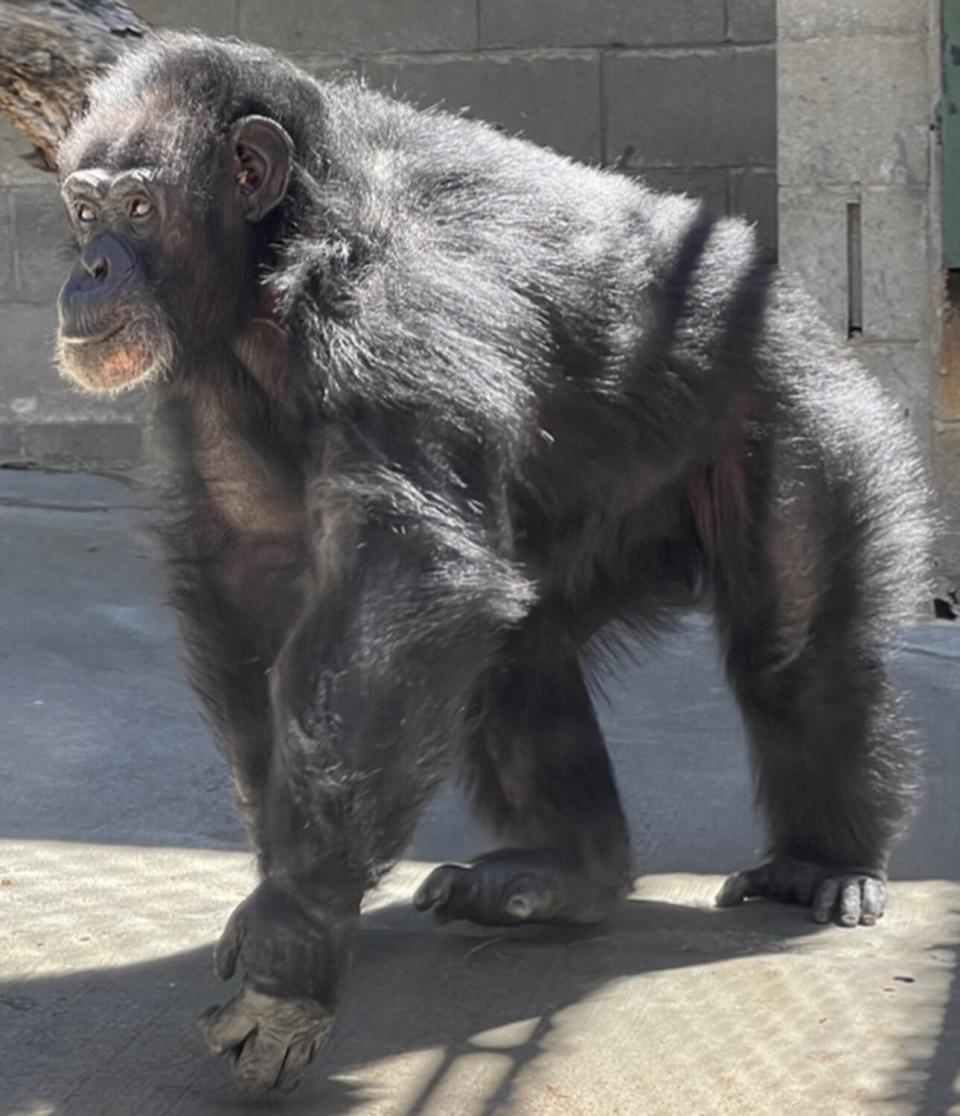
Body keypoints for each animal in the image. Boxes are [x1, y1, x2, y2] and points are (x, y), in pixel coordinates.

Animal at [54, 32, 928, 1089]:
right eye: (84, 208)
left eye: (141, 208)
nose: (91, 265)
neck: (280, 254)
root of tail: (805, 309)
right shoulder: (211, 388)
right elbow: (252, 561)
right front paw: (284, 882)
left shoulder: (397, 311)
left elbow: (413, 563)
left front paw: (296, 936)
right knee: (514, 653)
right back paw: (563, 875)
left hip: (808, 418)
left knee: (797, 653)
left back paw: (824, 862)